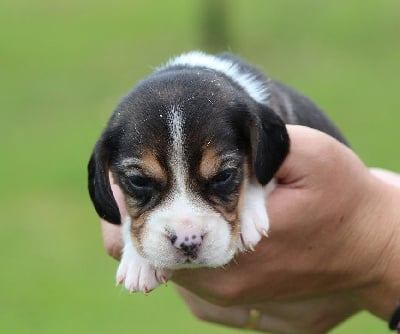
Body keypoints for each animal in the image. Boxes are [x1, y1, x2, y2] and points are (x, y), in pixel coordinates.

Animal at [88, 51, 346, 292]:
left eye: (224, 176)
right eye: (139, 181)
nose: (187, 241)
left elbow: (256, 178)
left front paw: (248, 219)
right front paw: (139, 261)